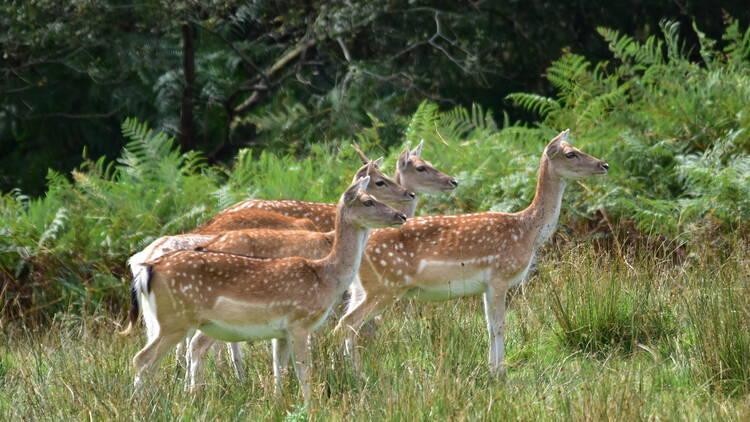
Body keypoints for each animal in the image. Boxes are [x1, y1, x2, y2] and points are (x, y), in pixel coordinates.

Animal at [120, 174, 408, 402]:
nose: (402, 215)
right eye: (368, 200)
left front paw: (279, 401)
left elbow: (279, 367)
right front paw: (311, 406)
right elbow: (304, 370)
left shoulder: (280, 331)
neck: (326, 276)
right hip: (175, 320)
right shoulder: (299, 321)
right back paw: (142, 405)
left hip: (168, 322)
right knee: (143, 360)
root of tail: (146, 268)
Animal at [334, 129, 612, 376]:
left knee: (350, 325)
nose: (604, 164)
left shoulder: (486, 285)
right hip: (386, 285)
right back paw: (355, 375)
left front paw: (492, 369)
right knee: (348, 324)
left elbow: (489, 326)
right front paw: (500, 373)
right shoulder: (500, 275)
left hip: (362, 288)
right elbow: (500, 325)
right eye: (570, 153)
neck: (528, 230)